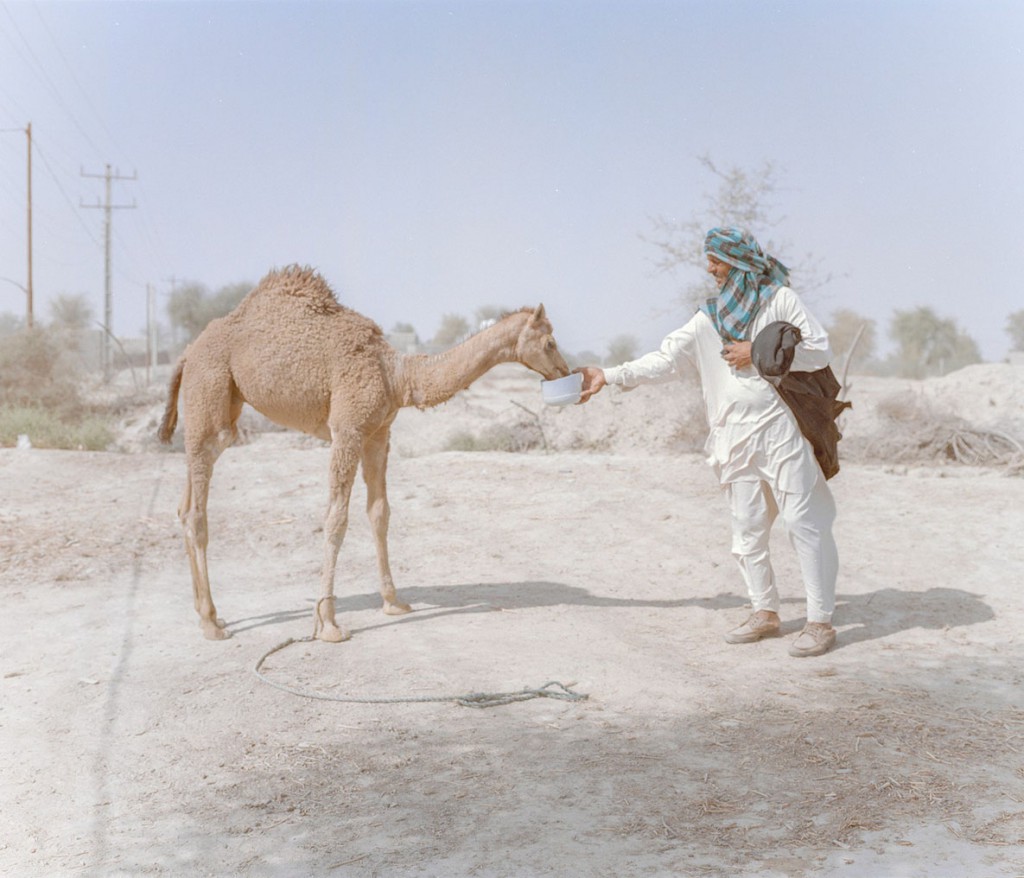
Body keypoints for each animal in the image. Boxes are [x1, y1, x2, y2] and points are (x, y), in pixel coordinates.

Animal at [162, 264, 573, 639]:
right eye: (550, 342)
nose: (564, 370)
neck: (397, 376)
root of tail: (187, 352)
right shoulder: (347, 429)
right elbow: (336, 519)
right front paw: (328, 623)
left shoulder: (378, 433)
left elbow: (379, 512)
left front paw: (393, 602)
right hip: (210, 393)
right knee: (197, 511)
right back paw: (210, 624)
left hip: (221, 410)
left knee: (185, 505)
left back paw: (211, 615)